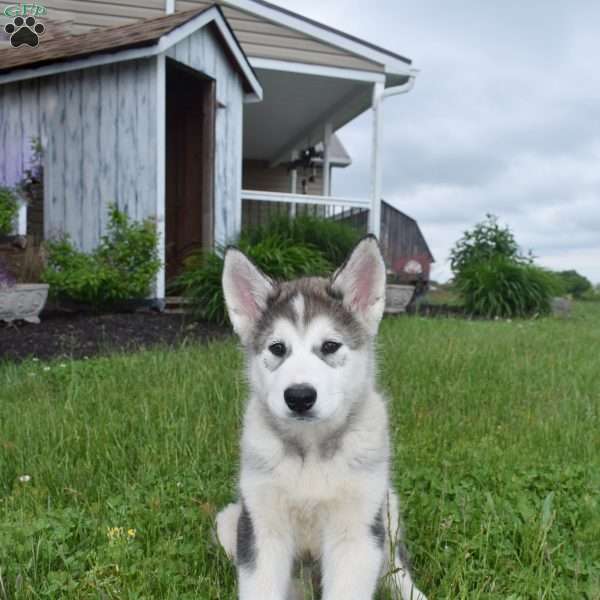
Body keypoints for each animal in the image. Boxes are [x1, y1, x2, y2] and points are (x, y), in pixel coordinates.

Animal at [216, 236, 426, 600]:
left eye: (329, 346)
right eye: (277, 348)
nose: (299, 396)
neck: (311, 452)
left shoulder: (356, 532)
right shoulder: (261, 526)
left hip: (387, 507)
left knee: (394, 567)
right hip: (232, 519)